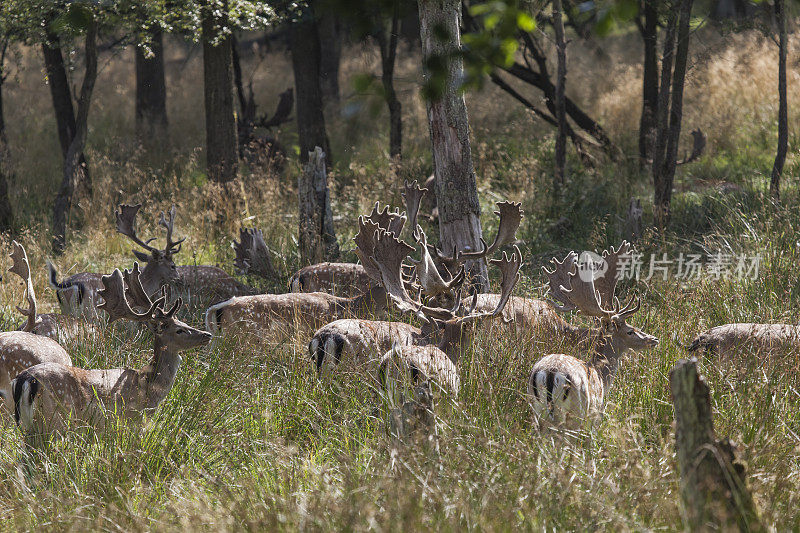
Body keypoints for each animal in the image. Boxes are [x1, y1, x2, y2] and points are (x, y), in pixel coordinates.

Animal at [10, 262, 211, 436]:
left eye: (184, 322)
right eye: (180, 330)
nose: (207, 334)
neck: (148, 387)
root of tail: (24, 379)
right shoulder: (131, 420)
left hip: (28, 424)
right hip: (53, 418)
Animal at [524, 243, 656, 430]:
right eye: (630, 330)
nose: (653, 339)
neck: (600, 376)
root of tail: (549, 373)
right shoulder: (595, 413)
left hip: (536, 407)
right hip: (577, 409)